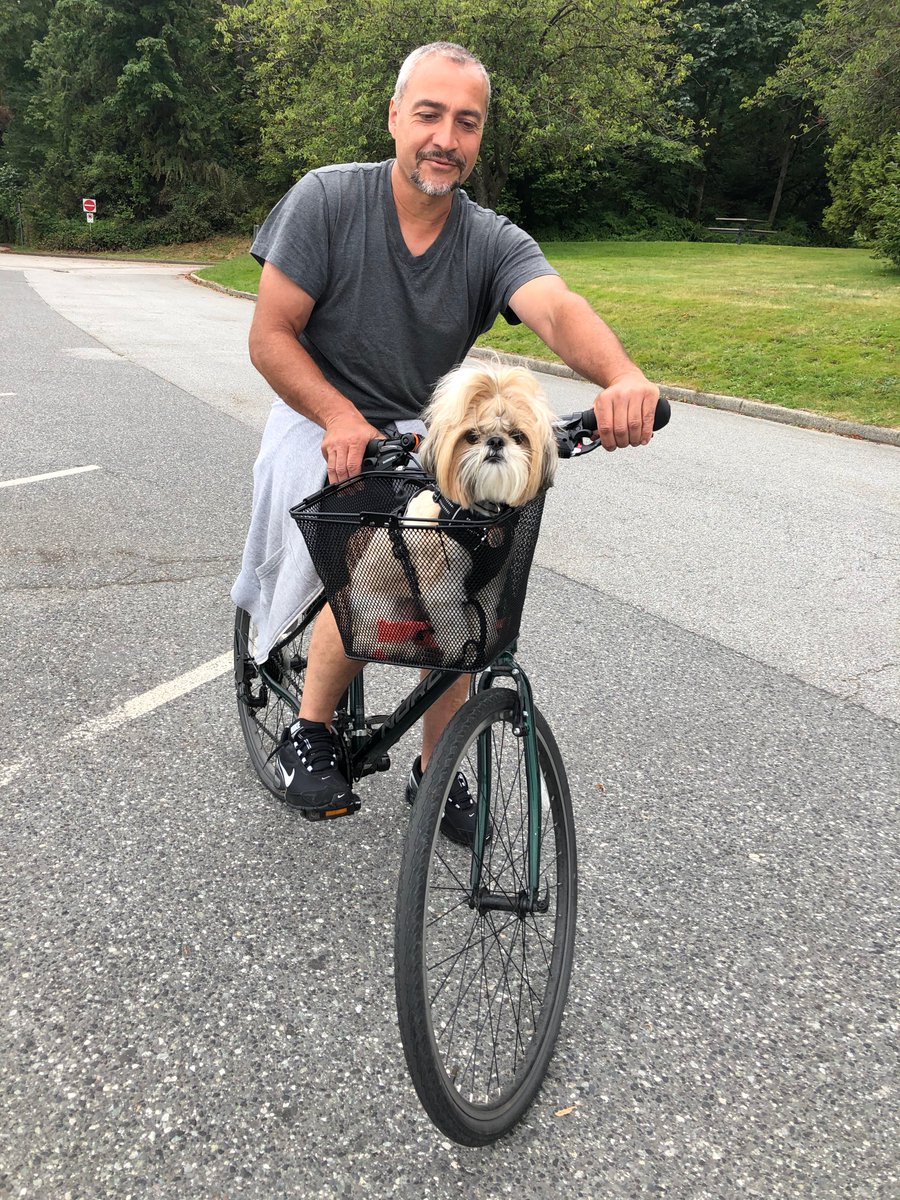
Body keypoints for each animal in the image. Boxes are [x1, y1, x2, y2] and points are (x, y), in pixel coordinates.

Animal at [343, 364, 556, 667]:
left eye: (517, 436)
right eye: (471, 436)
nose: (496, 442)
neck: (474, 519)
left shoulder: (488, 589)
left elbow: (484, 621)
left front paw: (486, 646)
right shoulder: (442, 592)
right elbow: (456, 631)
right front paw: (460, 655)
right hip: (387, 614)